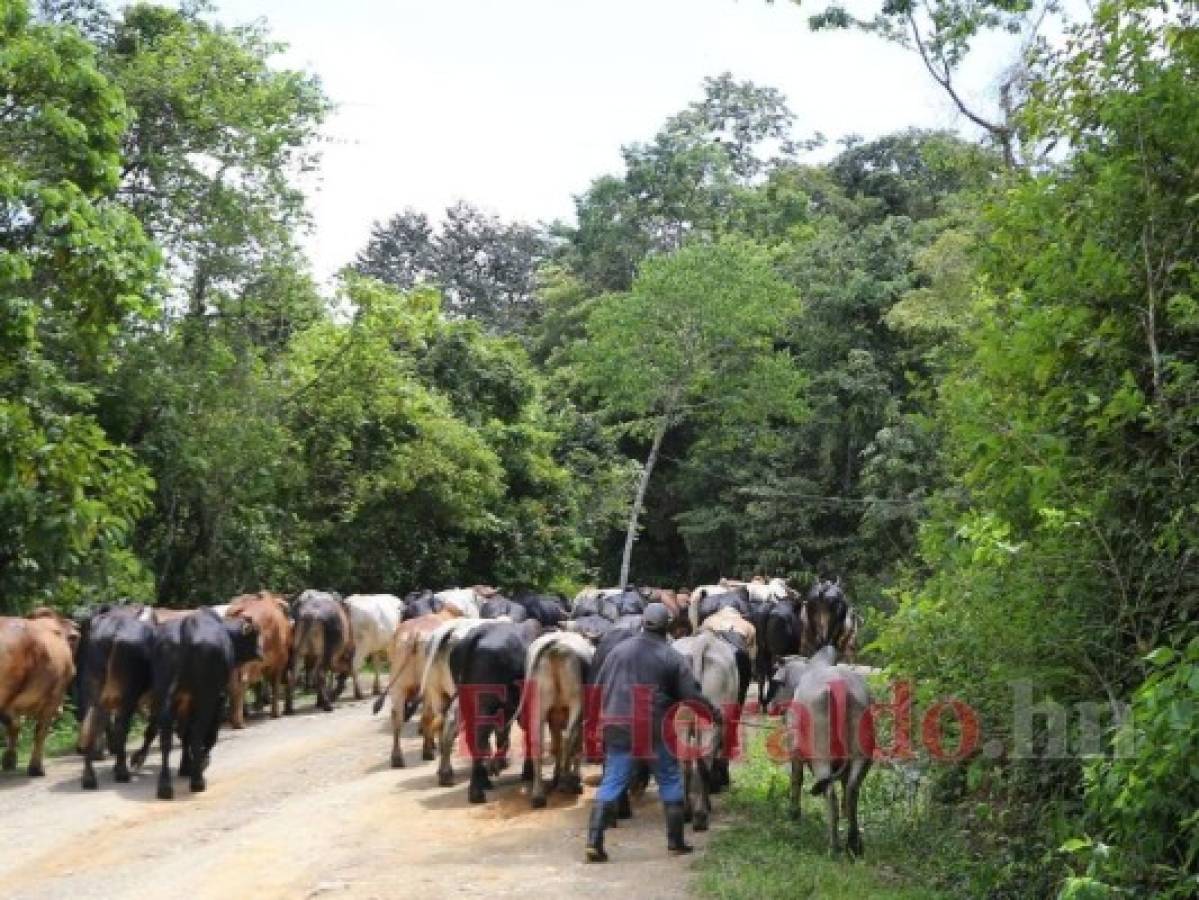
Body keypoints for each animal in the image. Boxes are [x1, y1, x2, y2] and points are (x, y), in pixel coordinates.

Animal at [76, 606, 154, 786]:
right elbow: (152, 728)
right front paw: (137, 759)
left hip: (93, 690)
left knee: (89, 724)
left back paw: (89, 777)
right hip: (127, 696)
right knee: (120, 728)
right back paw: (122, 772)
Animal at [147, 608, 260, 800]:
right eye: (256, 634)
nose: (261, 650)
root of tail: (187, 626)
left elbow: (184, 734)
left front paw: (186, 766)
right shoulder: (218, 697)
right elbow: (209, 735)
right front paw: (201, 762)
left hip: (166, 695)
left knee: (166, 738)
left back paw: (165, 786)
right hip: (206, 697)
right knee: (198, 733)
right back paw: (197, 781)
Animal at [225, 592, 292, 733]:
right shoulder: (280, 659)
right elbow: (275, 682)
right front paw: (275, 713)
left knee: (231, 683)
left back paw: (235, 720)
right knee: (241, 683)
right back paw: (239, 723)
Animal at [448, 623, 532, 805]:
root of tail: (478, 635)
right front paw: (527, 772)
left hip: (468, 703)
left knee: (475, 739)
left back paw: (483, 781)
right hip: (486, 704)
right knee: (480, 739)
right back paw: (477, 792)